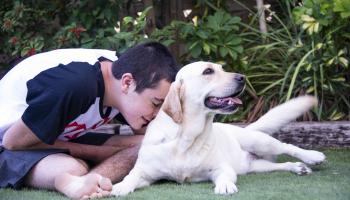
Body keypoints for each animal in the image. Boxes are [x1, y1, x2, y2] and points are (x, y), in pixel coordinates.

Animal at [111, 61, 326, 196]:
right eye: (208, 71)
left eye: (222, 69)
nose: (242, 77)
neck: (185, 138)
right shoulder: (146, 172)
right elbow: (132, 176)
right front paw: (119, 186)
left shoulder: (221, 167)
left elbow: (224, 176)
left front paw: (225, 186)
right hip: (255, 166)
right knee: (278, 164)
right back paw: (297, 167)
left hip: (259, 142)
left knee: (287, 146)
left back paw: (312, 156)